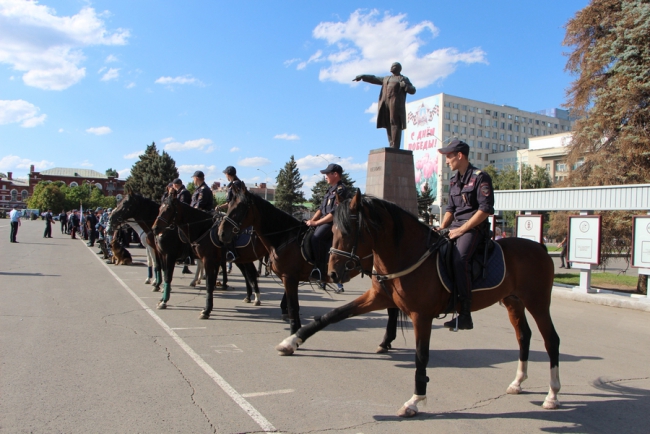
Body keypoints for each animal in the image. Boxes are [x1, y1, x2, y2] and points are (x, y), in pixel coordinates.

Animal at [215, 185, 372, 334]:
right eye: (229, 205)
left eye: (240, 207)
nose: (221, 233)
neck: (284, 237)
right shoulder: (290, 277)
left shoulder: (289, 277)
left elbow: (293, 307)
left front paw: (293, 330)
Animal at [270, 192, 560, 418]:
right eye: (332, 231)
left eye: (349, 231)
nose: (332, 273)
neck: (408, 254)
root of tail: (540, 248)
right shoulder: (378, 297)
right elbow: (331, 315)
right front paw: (292, 341)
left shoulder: (421, 315)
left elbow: (421, 355)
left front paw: (415, 400)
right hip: (513, 301)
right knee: (524, 336)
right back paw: (518, 382)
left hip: (537, 302)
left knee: (551, 340)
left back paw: (552, 394)